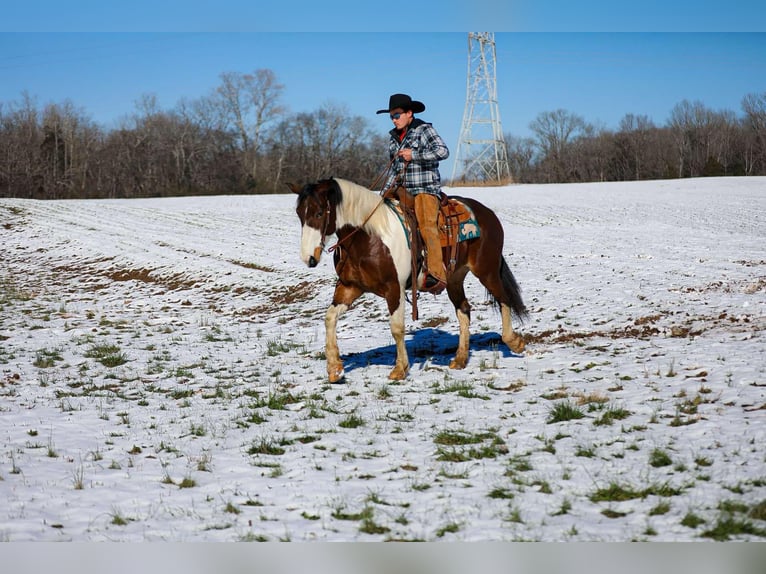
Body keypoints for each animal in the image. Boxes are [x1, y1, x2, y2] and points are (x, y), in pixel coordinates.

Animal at [289, 177, 527, 383]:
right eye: (299, 214)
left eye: (319, 212)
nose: (308, 258)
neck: (370, 237)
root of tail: (487, 213)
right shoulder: (350, 287)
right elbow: (329, 319)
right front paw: (335, 369)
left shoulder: (394, 288)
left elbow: (396, 328)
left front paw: (400, 369)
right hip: (454, 279)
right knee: (464, 310)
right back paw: (460, 359)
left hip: (487, 270)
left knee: (504, 299)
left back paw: (514, 342)